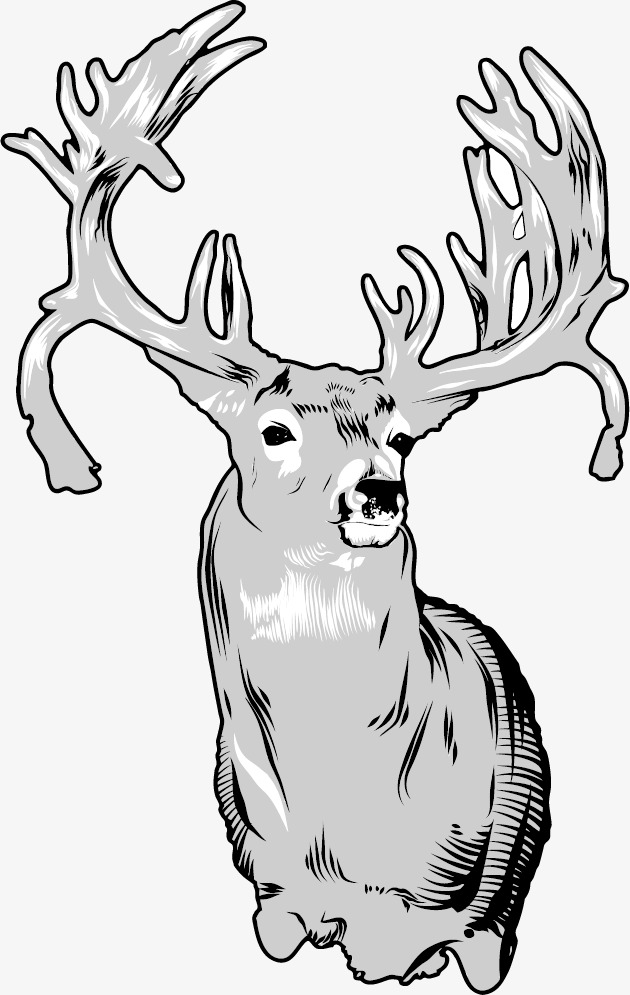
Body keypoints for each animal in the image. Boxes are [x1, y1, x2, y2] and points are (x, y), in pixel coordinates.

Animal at [3, 4, 627, 992]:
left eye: (402, 437)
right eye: (273, 431)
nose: (379, 491)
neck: (339, 823)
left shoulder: (466, 880)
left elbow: (445, 935)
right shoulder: (266, 879)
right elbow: (278, 918)